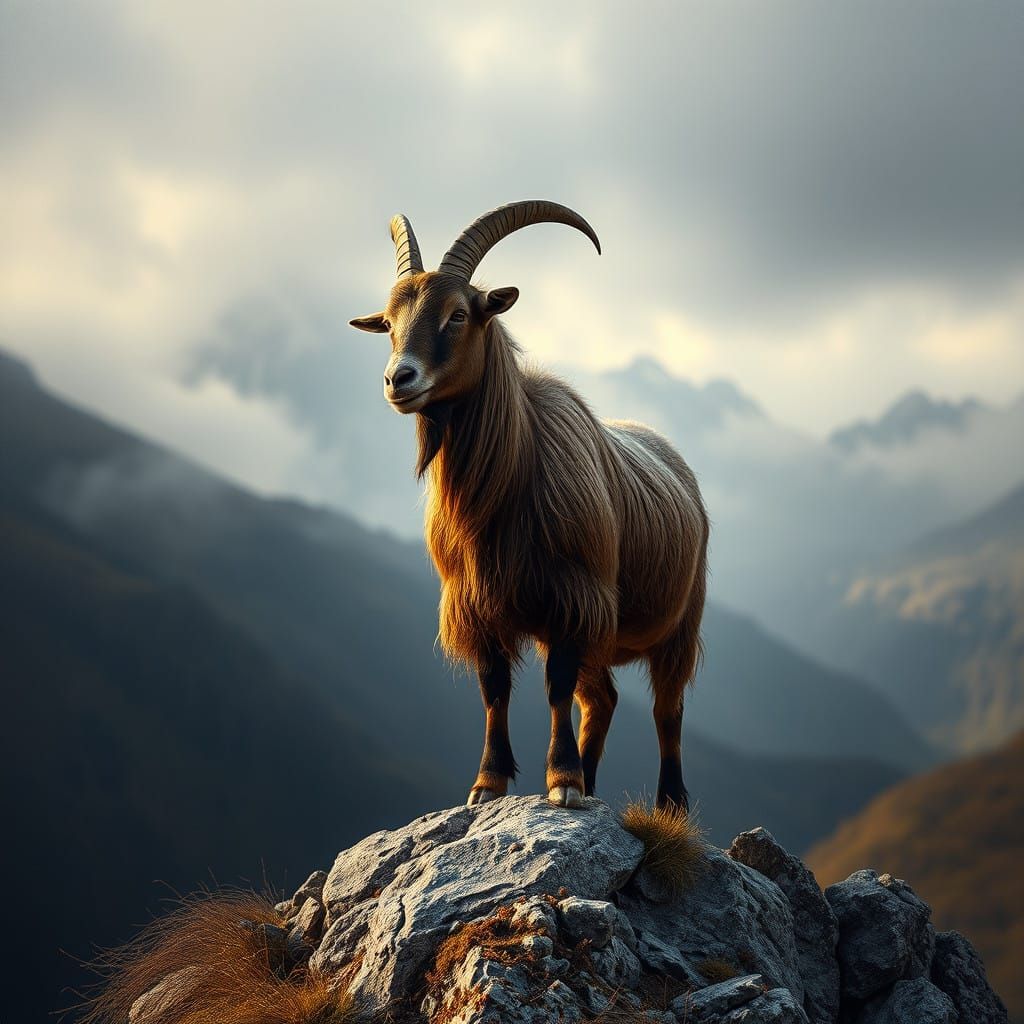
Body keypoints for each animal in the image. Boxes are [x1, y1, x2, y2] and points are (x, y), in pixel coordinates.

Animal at [350, 201, 709, 811]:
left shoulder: (574, 596)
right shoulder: (478, 606)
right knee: (603, 700)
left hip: (680, 624)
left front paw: (561, 781)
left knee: (668, 708)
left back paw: (670, 803)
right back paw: (592, 781)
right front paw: (489, 783)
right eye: (390, 322)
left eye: (458, 315)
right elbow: (495, 689)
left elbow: (555, 687)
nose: (399, 379)